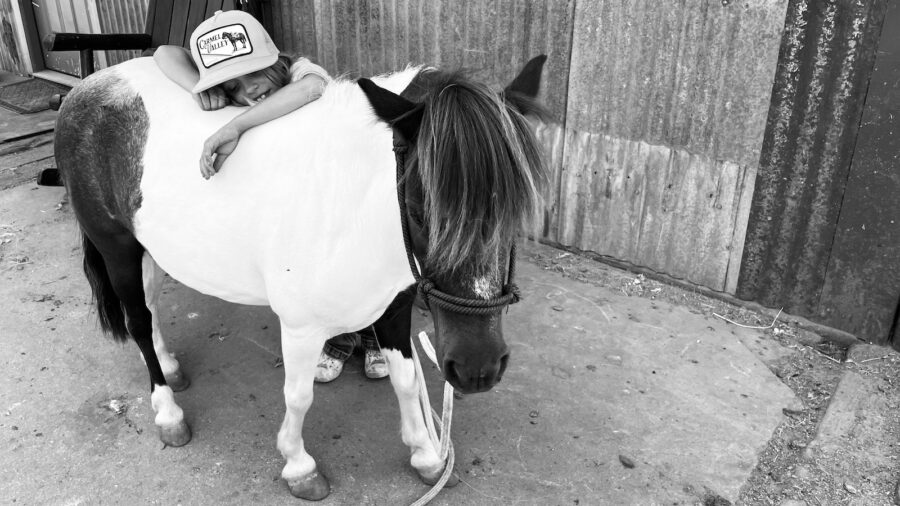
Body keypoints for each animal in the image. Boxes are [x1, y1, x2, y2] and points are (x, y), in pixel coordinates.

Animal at [53, 53, 547, 500]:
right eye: (421, 210)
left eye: (516, 209)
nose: (478, 368)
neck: (343, 203)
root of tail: (86, 88)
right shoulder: (301, 327)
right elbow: (299, 396)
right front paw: (298, 467)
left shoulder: (393, 308)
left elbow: (405, 381)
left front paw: (426, 456)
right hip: (116, 247)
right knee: (136, 320)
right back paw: (168, 413)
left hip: (151, 250)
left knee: (151, 306)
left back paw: (171, 368)